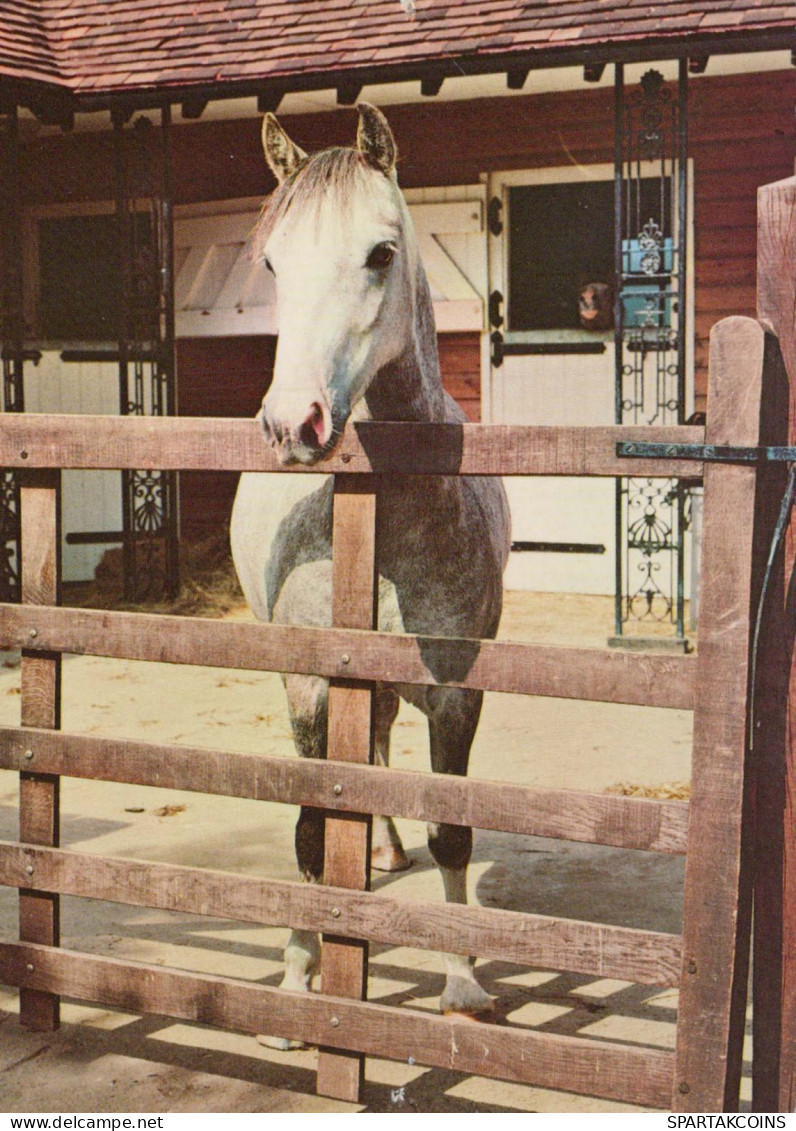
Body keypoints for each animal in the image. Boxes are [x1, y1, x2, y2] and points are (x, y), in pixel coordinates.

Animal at [231, 101, 511, 1045]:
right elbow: (314, 832)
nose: (294, 424)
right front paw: (295, 979)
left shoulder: (458, 692)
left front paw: (462, 983)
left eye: (380, 253)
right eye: (273, 261)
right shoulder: (312, 687)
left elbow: (453, 836)